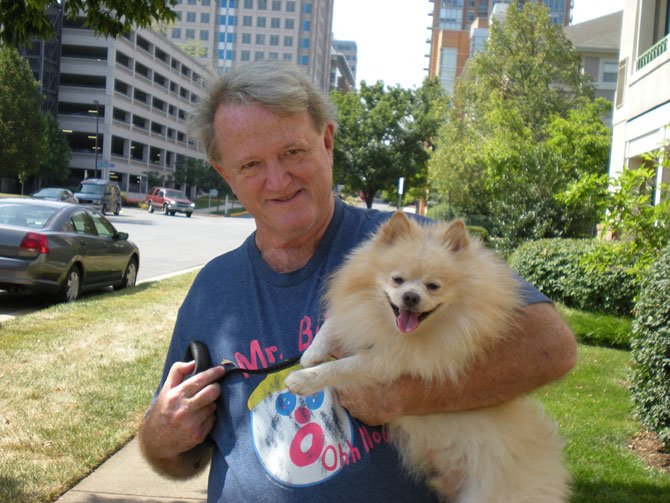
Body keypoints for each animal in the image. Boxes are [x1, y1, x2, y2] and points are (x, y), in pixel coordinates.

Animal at [286, 213, 576, 503]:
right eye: (397, 279)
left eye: (433, 286)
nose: (411, 296)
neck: (392, 330)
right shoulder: (361, 322)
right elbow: (333, 323)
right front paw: (312, 353)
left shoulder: (386, 362)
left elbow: (342, 367)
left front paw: (302, 378)